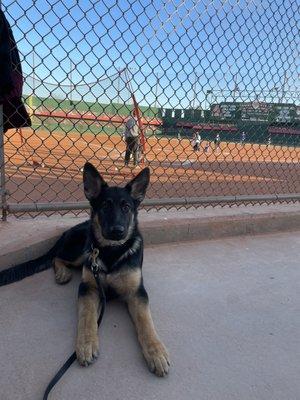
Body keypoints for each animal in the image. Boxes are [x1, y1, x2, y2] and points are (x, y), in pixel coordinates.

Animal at [0, 162, 169, 376]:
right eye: (105, 206)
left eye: (126, 207)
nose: (117, 231)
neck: (111, 251)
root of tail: (67, 231)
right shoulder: (88, 288)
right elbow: (87, 316)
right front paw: (87, 344)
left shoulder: (137, 292)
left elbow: (146, 323)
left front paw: (156, 352)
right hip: (81, 250)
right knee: (56, 257)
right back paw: (63, 273)